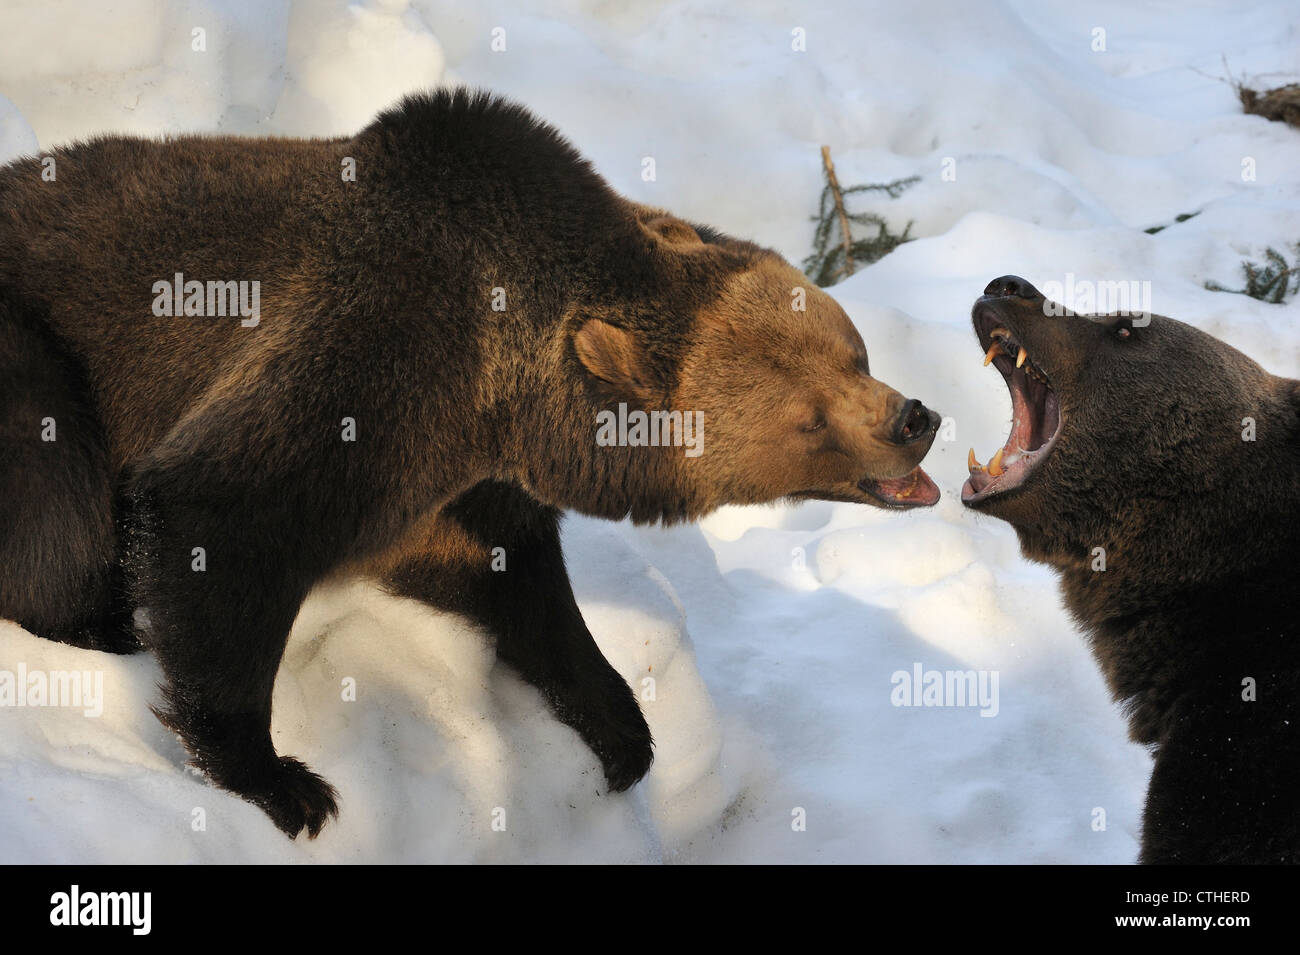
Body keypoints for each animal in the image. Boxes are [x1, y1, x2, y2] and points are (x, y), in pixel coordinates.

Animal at [0, 89, 941, 836]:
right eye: (809, 418)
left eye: (851, 350)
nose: (914, 418)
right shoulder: (381, 351)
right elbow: (226, 507)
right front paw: (281, 781)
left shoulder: (463, 474)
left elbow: (510, 577)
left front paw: (620, 724)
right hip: (36, 356)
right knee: (57, 506)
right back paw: (100, 623)